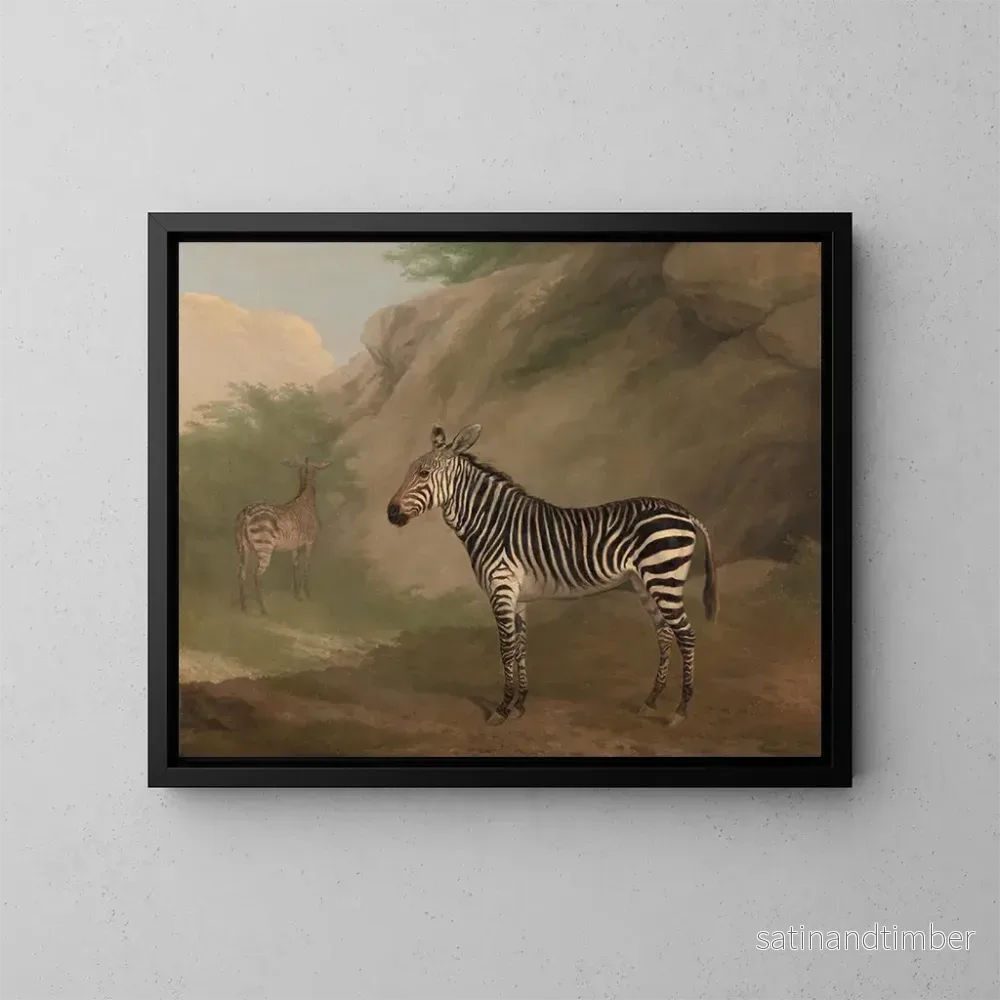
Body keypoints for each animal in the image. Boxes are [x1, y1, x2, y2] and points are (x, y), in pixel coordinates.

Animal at [236, 457, 331, 615]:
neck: (306, 499)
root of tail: (245, 515)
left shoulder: (295, 545)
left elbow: (295, 565)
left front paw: (297, 595)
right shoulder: (310, 541)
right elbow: (306, 566)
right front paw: (307, 594)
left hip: (243, 547)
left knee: (242, 572)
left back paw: (243, 607)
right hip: (264, 545)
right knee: (257, 575)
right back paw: (264, 609)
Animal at [386, 424, 717, 726]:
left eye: (423, 473)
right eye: (411, 471)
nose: (391, 513)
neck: (492, 523)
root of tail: (684, 511)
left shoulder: (501, 588)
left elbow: (506, 648)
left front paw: (502, 708)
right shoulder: (518, 596)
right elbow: (521, 647)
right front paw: (520, 704)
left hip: (664, 578)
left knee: (686, 635)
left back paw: (680, 710)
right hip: (644, 583)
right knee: (664, 634)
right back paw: (651, 701)